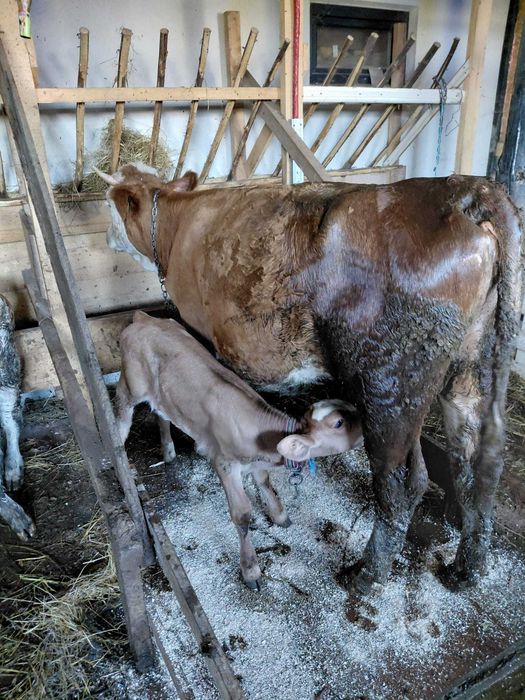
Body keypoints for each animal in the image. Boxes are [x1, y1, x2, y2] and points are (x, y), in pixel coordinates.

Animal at [116, 311, 363, 589]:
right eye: (339, 423)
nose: (367, 422)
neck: (265, 439)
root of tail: (144, 319)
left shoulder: (257, 463)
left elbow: (265, 484)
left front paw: (279, 515)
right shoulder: (224, 463)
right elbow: (242, 515)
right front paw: (251, 570)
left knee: (160, 413)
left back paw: (169, 452)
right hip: (131, 384)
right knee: (121, 414)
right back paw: (119, 456)